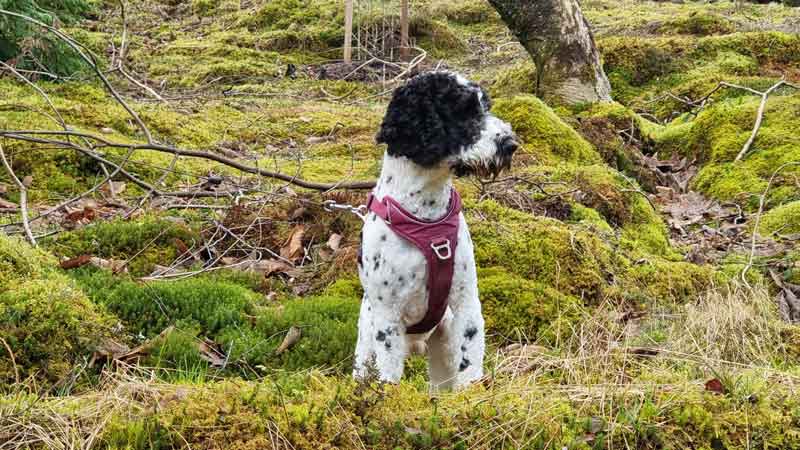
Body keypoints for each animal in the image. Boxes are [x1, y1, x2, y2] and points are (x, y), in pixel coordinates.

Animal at [354, 70, 520, 390]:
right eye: (463, 111)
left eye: (486, 106)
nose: (509, 144)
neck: (425, 218)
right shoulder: (387, 317)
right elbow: (388, 375)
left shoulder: (465, 302)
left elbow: (469, 363)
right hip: (366, 346)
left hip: (442, 347)